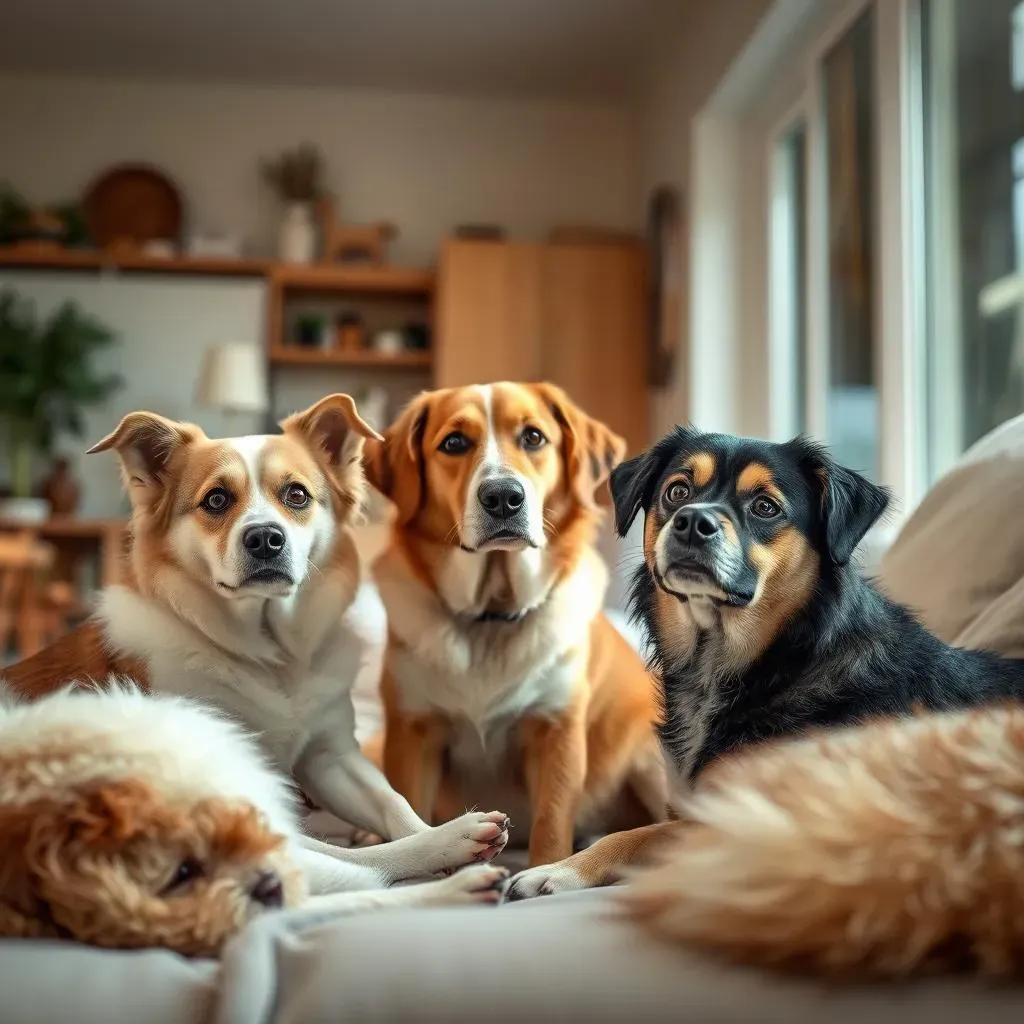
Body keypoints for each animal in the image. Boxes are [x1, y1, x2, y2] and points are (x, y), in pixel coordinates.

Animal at [3, 395, 507, 901]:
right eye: (216, 499)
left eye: (297, 495)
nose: (265, 538)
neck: (270, 656)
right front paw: (449, 843)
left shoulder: (331, 757)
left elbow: (394, 802)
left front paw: (435, 832)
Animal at [364, 385, 667, 888]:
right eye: (453, 443)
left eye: (533, 437)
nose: (503, 496)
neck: (492, 617)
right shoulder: (413, 732)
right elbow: (409, 810)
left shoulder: (556, 731)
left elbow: (552, 822)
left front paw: (547, 868)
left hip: (648, 757)